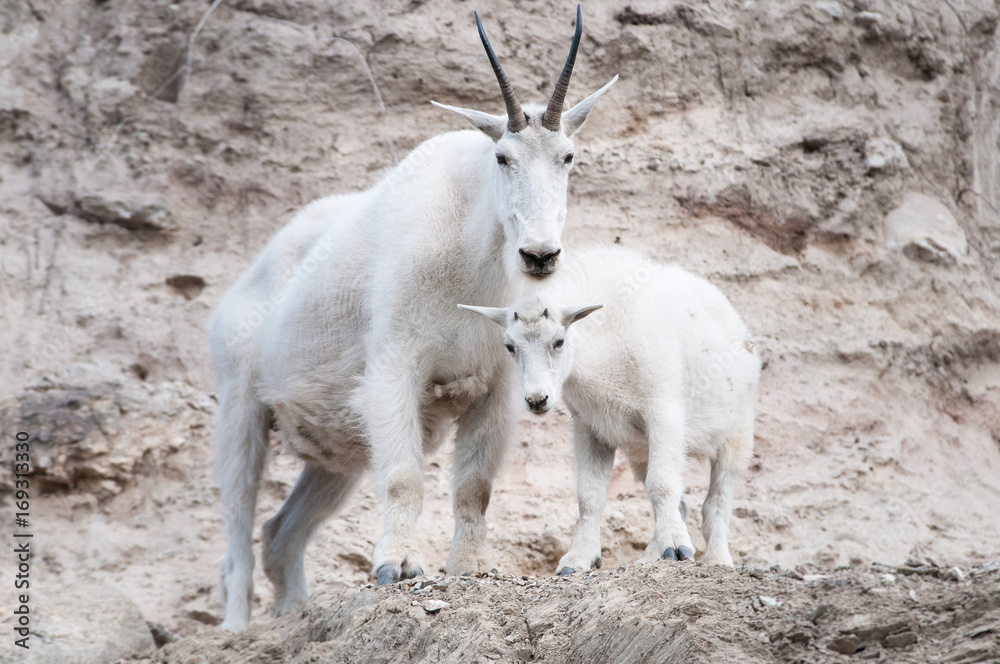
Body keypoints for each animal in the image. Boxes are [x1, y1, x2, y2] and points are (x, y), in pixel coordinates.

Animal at [211, 7, 616, 631]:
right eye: (502, 157)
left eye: (568, 157)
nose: (540, 255)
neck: (474, 254)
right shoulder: (395, 370)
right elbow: (403, 478)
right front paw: (397, 567)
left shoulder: (497, 390)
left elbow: (474, 487)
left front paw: (470, 567)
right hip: (239, 406)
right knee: (236, 522)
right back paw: (238, 625)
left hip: (334, 457)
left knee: (280, 533)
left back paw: (294, 613)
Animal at [460, 245, 760, 573]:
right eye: (510, 346)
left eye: (559, 341)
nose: (537, 400)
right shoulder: (590, 428)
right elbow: (589, 497)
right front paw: (577, 559)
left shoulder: (664, 415)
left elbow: (661, 483)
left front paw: (678, 545)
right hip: (641, 451)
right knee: (682, 503)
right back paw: (651, 557)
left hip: (737, 434)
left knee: (716, 501)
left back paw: (716, 558)